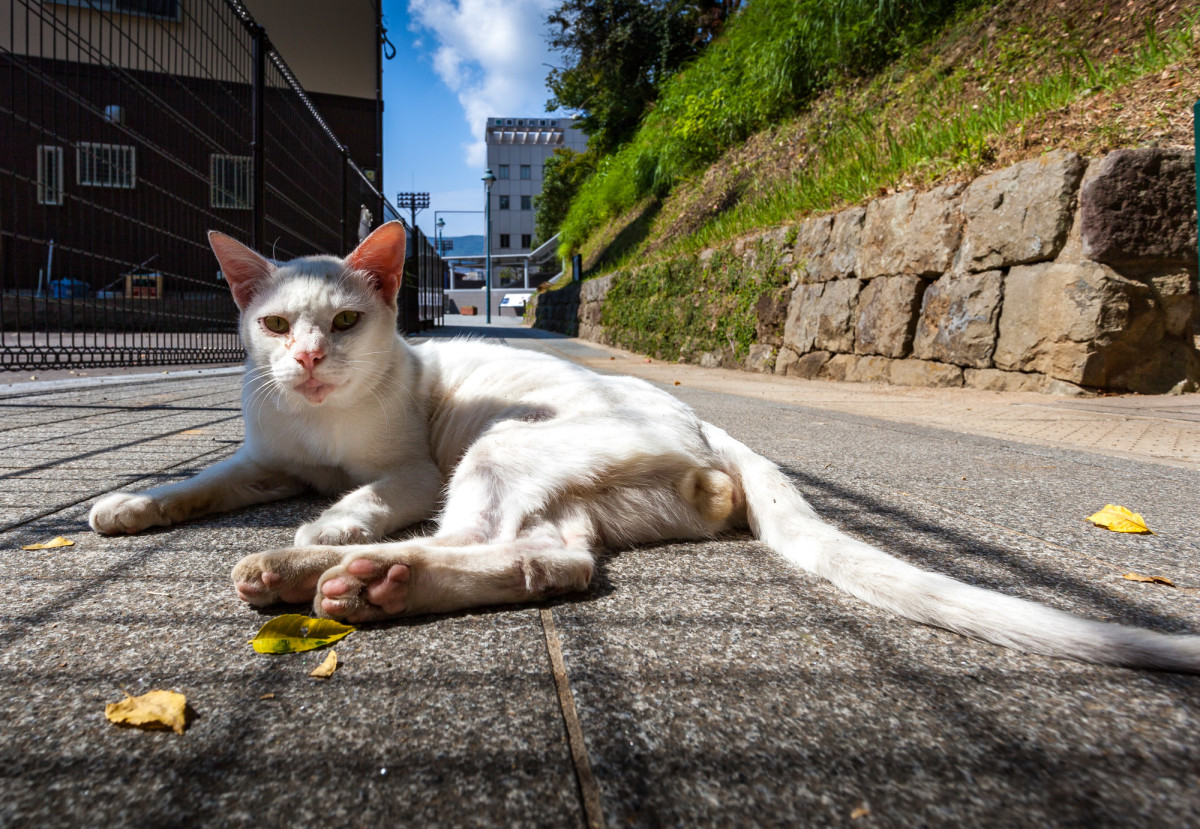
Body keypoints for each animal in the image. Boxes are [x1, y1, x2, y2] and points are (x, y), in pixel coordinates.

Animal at [88, 221, 1200, 676]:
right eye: (278, 328)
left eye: (346, 324)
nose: (312, 359)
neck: (317, 430)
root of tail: (705, 425)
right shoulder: (261, 459)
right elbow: (198, 481)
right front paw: (129, 506)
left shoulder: (408, 469)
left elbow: (354, 496)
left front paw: (321, 526)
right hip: (569, 491)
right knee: (555, 561)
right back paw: (365, 582)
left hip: (495, 452)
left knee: (484, 541)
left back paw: (323, 569)